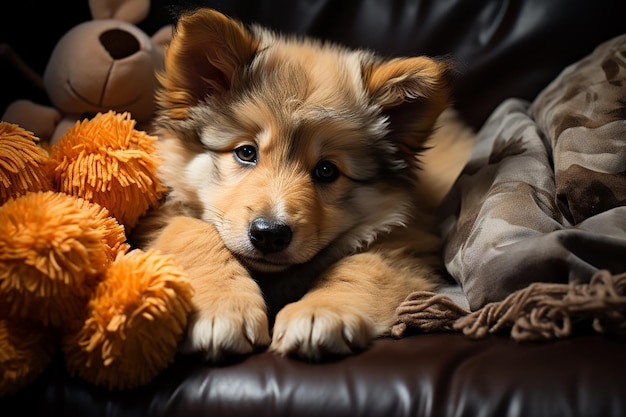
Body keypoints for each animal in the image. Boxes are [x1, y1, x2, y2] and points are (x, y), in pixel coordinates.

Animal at [134, 7, 470, 360]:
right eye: (246, 152)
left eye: (326, 170)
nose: (270, 235)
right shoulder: (166, 213)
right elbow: (193, 234)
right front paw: (223, 307)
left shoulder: (409, 241)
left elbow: (364, 268)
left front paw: (320, 312)